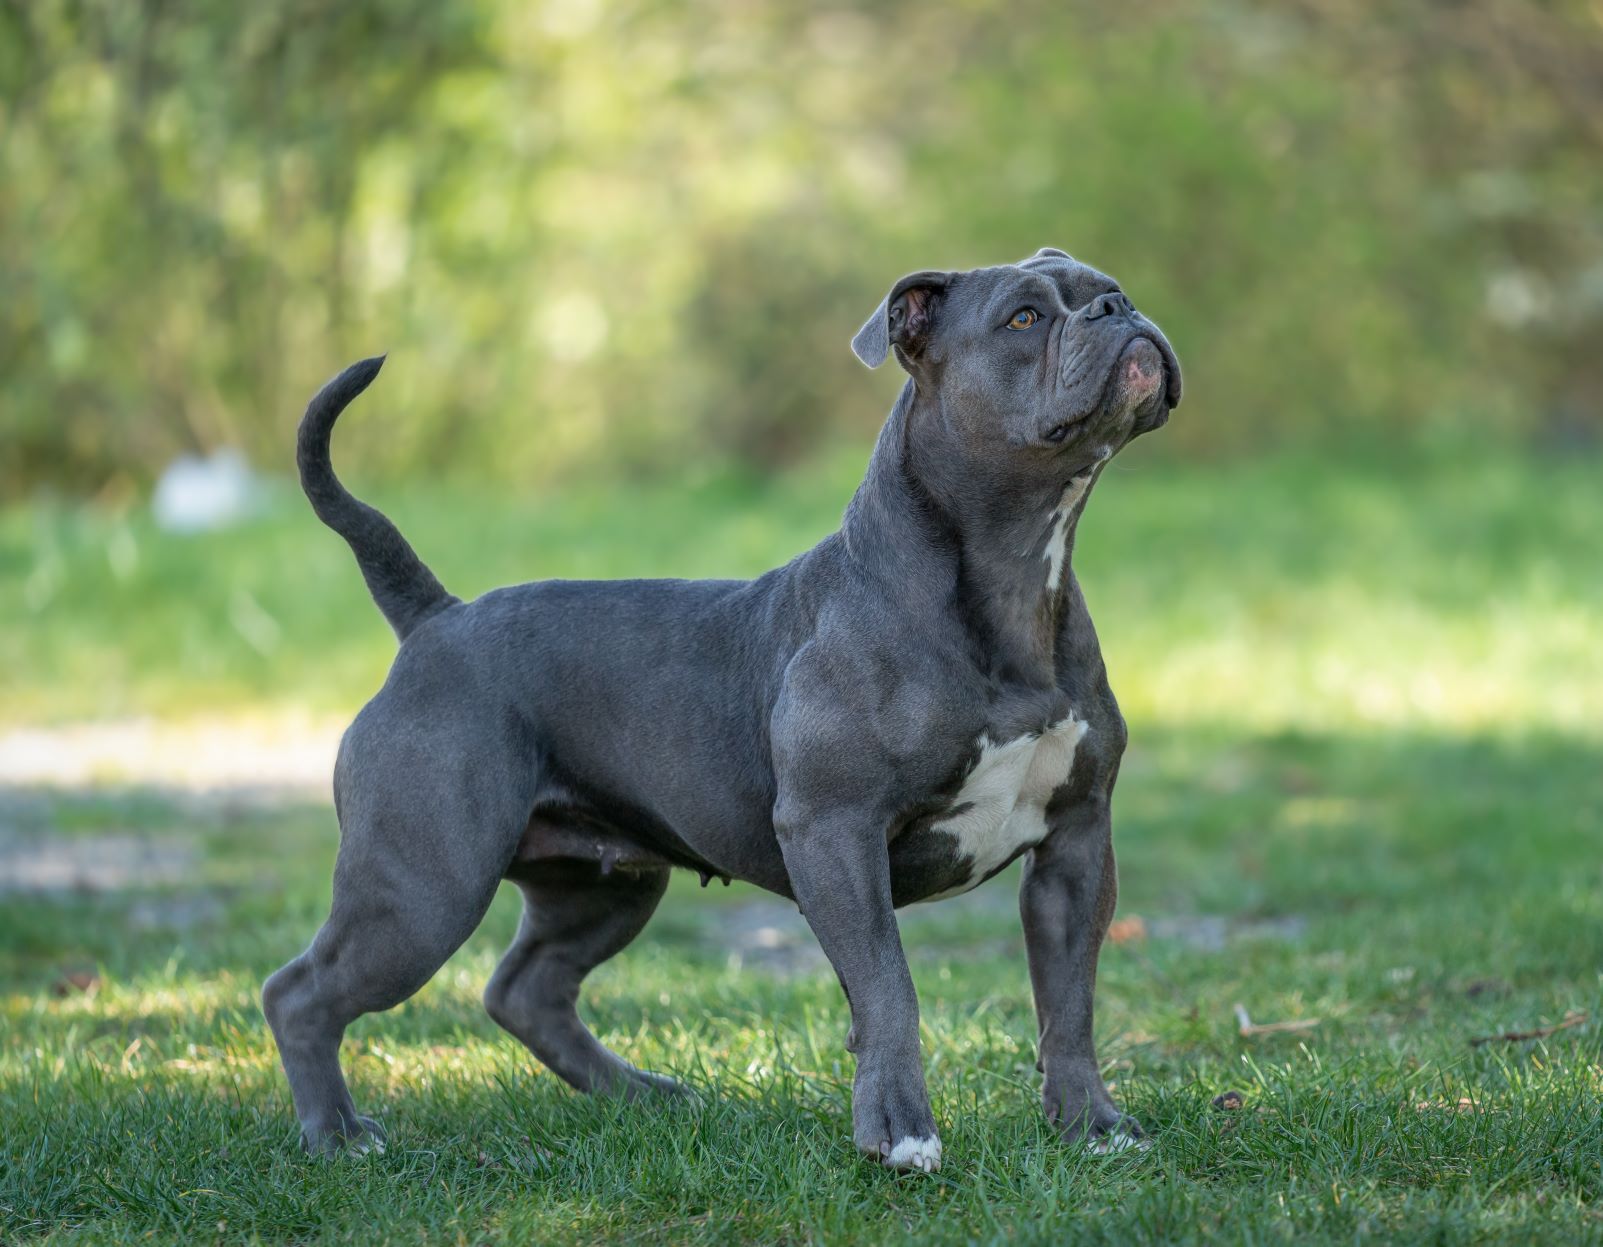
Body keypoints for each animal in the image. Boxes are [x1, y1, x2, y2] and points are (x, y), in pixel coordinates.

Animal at [266, 248, 1179, 1173]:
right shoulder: (835, 832)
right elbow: (888, 986)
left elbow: (1069, 999)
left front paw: (1091, 1124)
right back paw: (337, 1133)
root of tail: (434, 619)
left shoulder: (1075, 841)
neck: (1019, 575)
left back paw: (642, 1096)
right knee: (300, 990)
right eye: (1022, 318)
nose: (1118, 310)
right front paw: (902, 1130)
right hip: (424, 886)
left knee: (527, 987)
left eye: (1112, 289)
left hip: (600, 885)